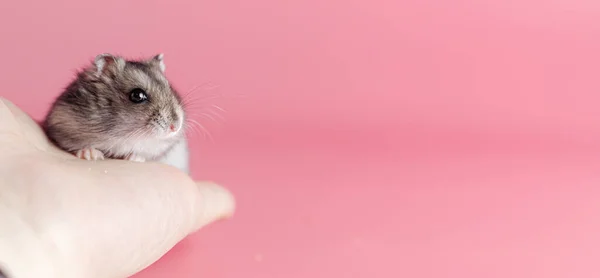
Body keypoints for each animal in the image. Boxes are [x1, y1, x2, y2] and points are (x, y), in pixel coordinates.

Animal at [44, 53, 188, 164]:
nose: (175, 127)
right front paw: (91, 154)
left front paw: (135, 158)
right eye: (137, 95)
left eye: (170, 88)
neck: (124, 134)